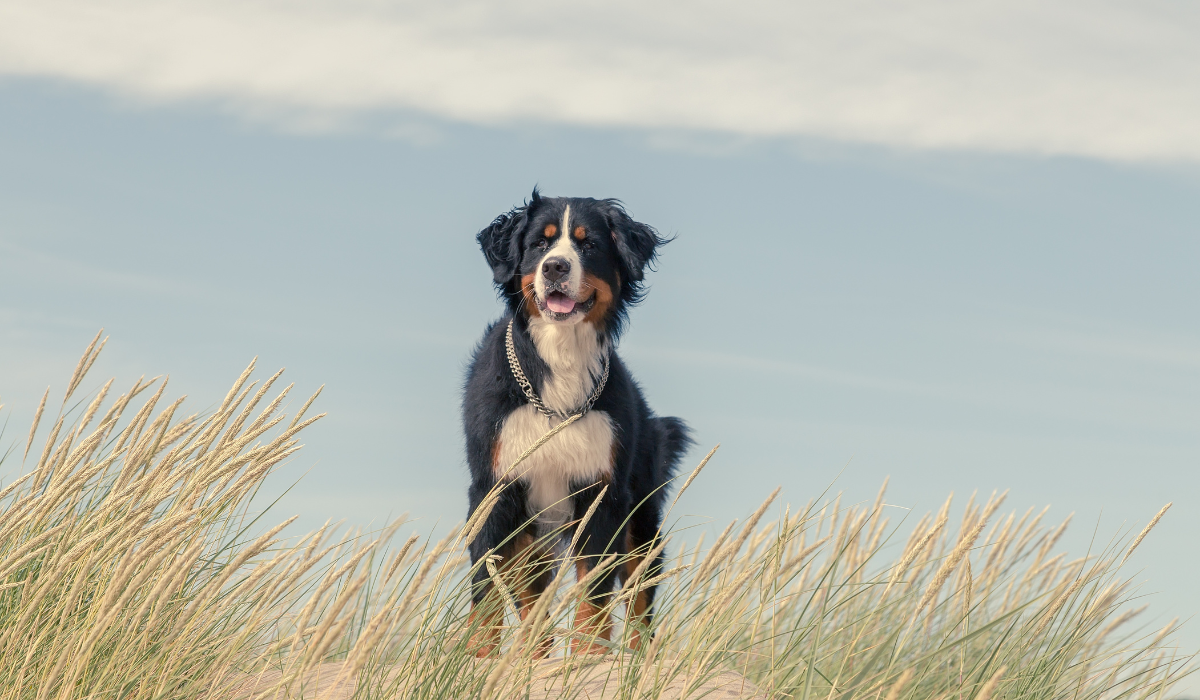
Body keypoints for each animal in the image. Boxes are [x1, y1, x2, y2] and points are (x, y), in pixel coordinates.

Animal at [465, 187, 696, 657]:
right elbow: (487, 587)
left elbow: (594, 592)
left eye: (588, 245)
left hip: (641, 524)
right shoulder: (495, 489)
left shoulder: (602, 492)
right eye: (540, 243)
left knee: (640, 605)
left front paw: (589, 660)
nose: (556, 266)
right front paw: (476, 659)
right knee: (532, 603)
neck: (562, 356)